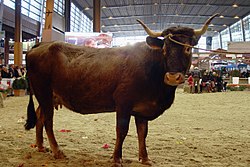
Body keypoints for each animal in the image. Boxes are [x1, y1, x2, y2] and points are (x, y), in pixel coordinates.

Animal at [24, 14, 218, 166]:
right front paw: (117, 158)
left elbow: (142, 133)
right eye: (164, 49)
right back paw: (57, 151)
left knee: (40, 117)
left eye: (187, 48)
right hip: (43, 92)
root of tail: (42, 45)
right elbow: (122, 131)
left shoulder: (142, 108)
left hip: (48, 96)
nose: (172, 77)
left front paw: (144, 158)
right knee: (48, 121)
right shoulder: (123, 103)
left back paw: (41, 146)